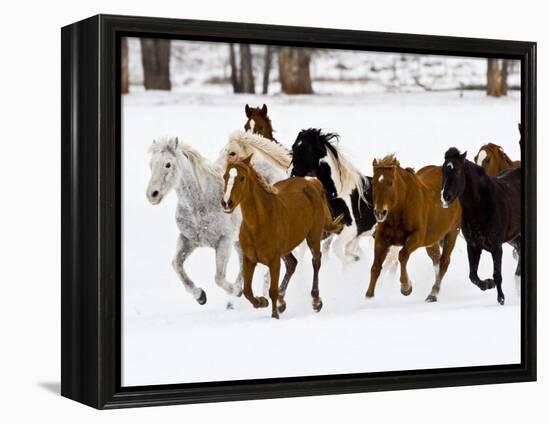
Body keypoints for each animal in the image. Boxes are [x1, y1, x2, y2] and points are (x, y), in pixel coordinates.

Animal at [146, 137, 243, 306]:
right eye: (151, 164)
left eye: (168, 164)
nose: (152, 194)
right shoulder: (188, 240)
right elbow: (176, 264)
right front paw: (200, 296)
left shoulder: (224, 241)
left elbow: (219, 278)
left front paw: (236, 291)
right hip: (239, 241)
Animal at [222, 155, 342, 318]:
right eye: (225, 176)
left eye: (242, 178)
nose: (226, 203)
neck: (259, 224)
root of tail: (312, 183)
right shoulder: (249, 259)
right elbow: (247, 291)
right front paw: (262, 302)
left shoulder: (274, 261)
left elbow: (271, 290)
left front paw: (274, 315)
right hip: (287, 248)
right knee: (292, 264)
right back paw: (282, 301)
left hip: (313, 236)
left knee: (316, 261)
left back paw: (316, 301)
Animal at [368, 155, 464, 302]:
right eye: (373, 183)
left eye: (390, 183)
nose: (379, 213)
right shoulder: (381, 238)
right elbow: (375, 266)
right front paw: (369, 295)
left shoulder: (417, 237)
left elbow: (402, 255)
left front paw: (406, 287)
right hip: (432, 241)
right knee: (436, 259)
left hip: (451, 234)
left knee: (444, 262)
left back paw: (433, 293)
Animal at [440, 147, 520, 304]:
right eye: (443, 171)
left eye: (457, 170)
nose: (445, 197)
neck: (481, 205)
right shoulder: (473, 246)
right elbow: (473, 276)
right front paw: (488, 284)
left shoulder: (496, 247)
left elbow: (497, 275)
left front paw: (501, 299)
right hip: (514, 238)